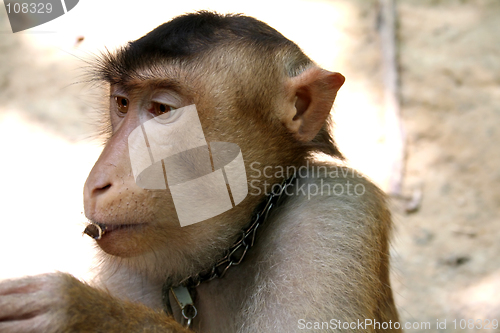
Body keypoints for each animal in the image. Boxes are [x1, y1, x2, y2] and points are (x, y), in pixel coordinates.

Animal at [0, 11, 398, 332]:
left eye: (162, 109)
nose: (98, 184)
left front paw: (81, 310)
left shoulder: (334, 211)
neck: (222, 259)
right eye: (122, 103)